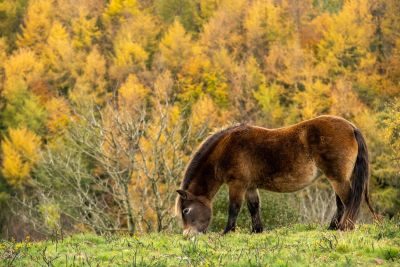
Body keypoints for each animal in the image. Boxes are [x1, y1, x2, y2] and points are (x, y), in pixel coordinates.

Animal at [175, 115, 376, 234]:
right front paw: (257, 230)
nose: (187, 236)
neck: (226, 148)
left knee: (348, 200)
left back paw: (344, 228)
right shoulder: (250, 186)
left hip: (338, 178)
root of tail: (351, 127)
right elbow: (254, 207)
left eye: (185, 210)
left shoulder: (237, 184)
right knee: (341, 203)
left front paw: (227, 232)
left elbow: (234, 208)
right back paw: (333, 227)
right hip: (337, 178)